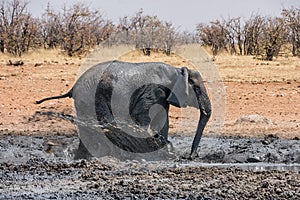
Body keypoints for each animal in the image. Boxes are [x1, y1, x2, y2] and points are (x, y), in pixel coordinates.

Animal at [37, 60, 211, 160]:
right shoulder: (152, 91)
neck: (176, 70)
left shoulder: (162, 96)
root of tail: (73, 87)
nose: (191, 156)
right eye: (196, 88)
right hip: (92, 97)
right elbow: (142, 117)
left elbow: (163, 121)